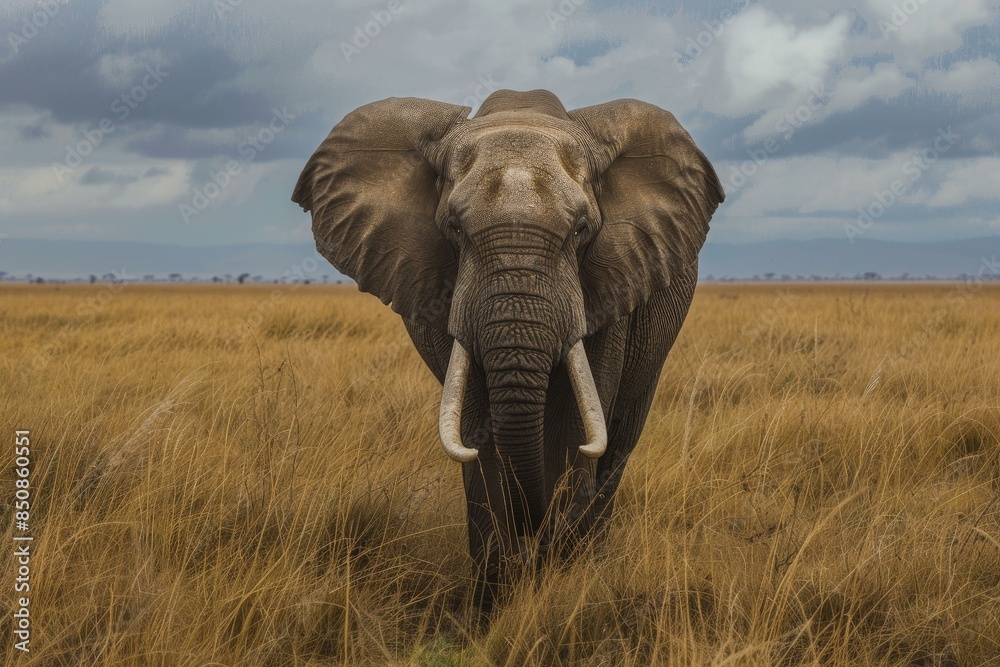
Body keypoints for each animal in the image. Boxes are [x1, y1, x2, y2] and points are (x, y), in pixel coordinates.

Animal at [292, 89, 724, 613]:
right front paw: (492, 603)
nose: (532, 533)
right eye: (454, 228)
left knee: (620, 438)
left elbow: (583, 422)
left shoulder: (610, 286)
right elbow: (476, 428)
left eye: (581, 229)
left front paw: (561, 583)